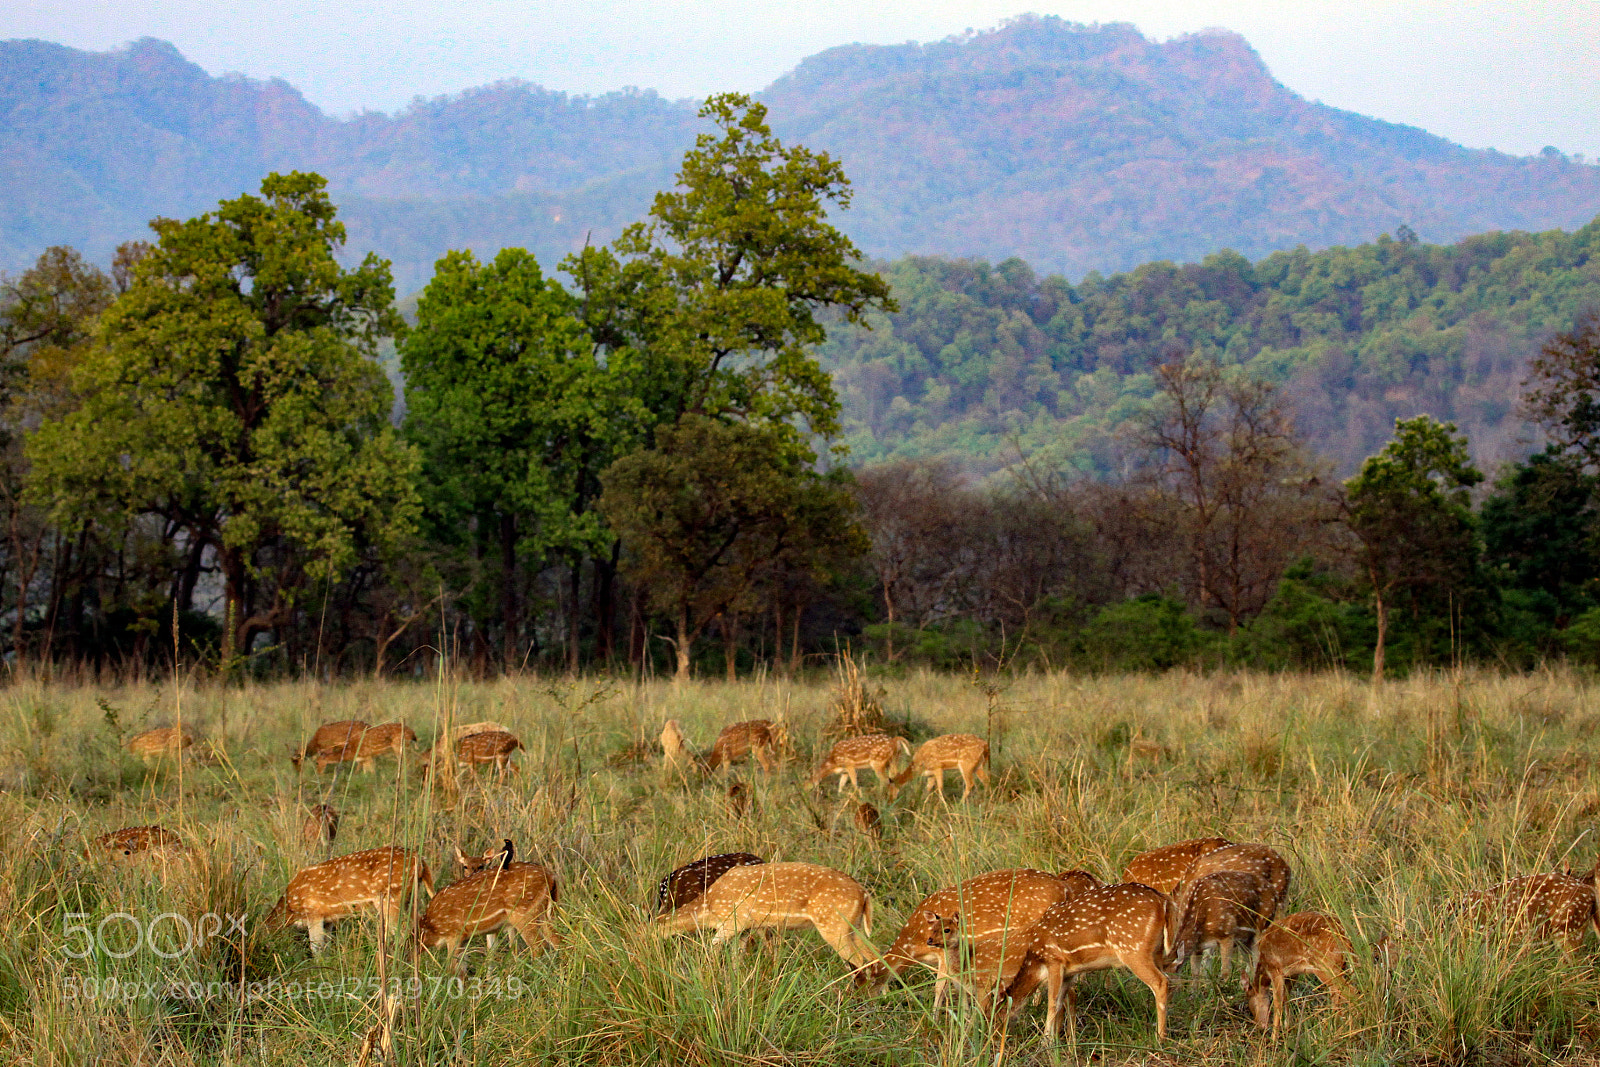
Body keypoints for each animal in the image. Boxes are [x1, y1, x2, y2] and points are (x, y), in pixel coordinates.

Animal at [266, 846, 434, 955]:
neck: (290, 906)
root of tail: (420, 860)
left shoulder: (314, 912)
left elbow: (316, 948)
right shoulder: (328, 919)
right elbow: (326, 947)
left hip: (391, 896)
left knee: (401, 930)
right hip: (410, 897)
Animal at [416, 842, 558, 971]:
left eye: (481, 866)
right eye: (465, 866)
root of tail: (551, 877)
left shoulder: (455, 934)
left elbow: (452, 968)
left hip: (523, 913)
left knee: (539, 946)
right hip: (544, 913)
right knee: (557, 939)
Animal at [653, 861, 875, 973]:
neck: (709, 907)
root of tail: (864, 893)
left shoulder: (731, 922)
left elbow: (713, 948)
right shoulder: (747, 928)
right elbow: (737, 956)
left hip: (834, 926)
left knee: (858, 959)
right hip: (854, 925)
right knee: (873, 954)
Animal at [861, 868, 1076, 1006]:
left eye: (860, 982)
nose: (861, 1003)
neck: (916, 944)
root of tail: (1065, 888)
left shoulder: (944, 953)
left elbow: (940, 988)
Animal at [996, 882, 1179, 1041]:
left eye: (996, 1015)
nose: (996, 1037)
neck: (1035, 959)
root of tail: (1164, 900)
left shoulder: (1054, 960)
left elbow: (1052, 1003)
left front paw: (1046, 1041)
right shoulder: (1069, 971)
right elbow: (1062, 1002)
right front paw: (1060, 1042)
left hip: (1133, 949)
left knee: (1161, 982)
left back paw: (1159, 1038)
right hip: (1157, 952)